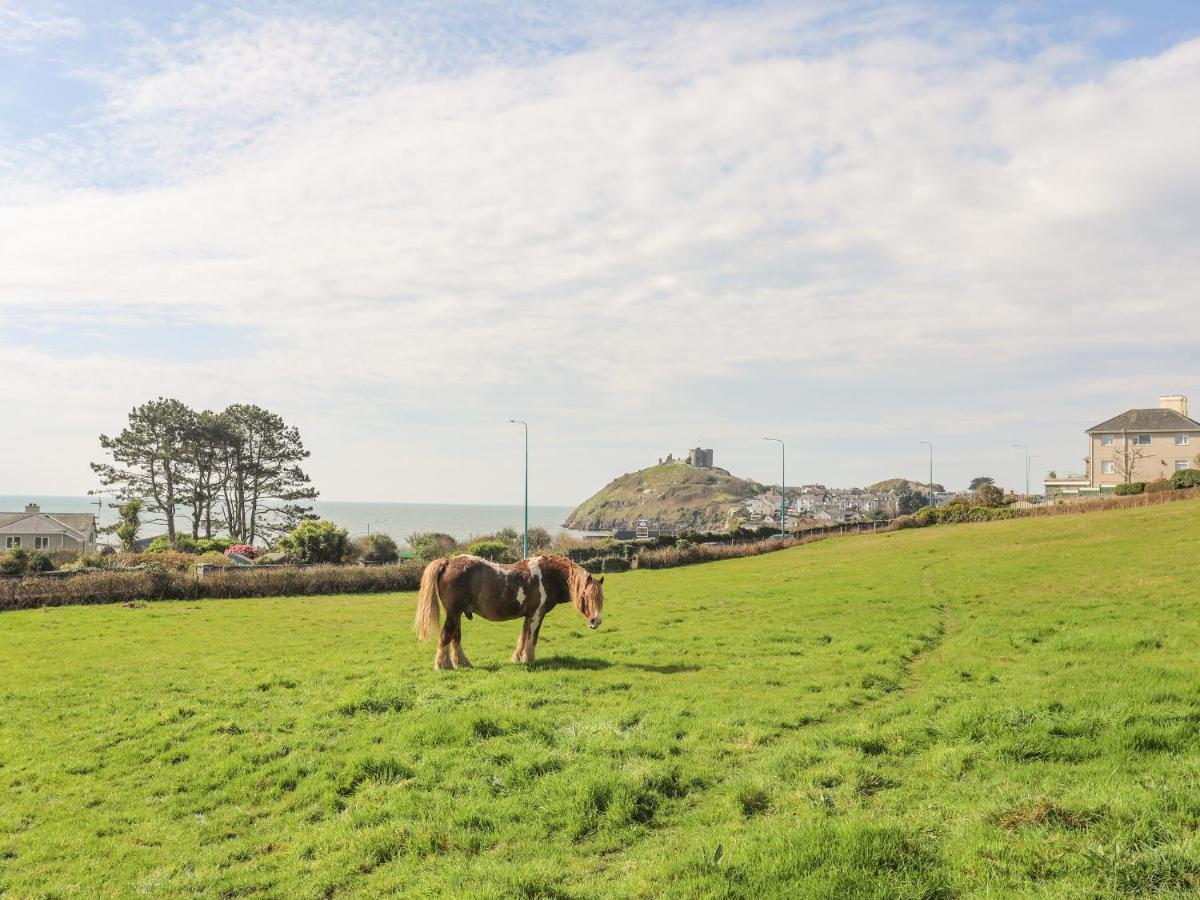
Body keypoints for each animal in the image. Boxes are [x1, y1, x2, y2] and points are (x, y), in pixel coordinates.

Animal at [415, 554, 604, 672]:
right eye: (586, 595)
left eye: (601, 597)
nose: (596, 621)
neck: (548, 575)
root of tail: (447, 562)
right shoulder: (537, 614)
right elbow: (532, 638)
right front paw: (529, 660)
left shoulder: (528, 615)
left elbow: (523, 636)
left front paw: (517, 658)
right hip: (454, 613)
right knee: (446, 636)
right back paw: (443, 666)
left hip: (457, 614)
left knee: (455, 638)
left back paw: (463, 664)